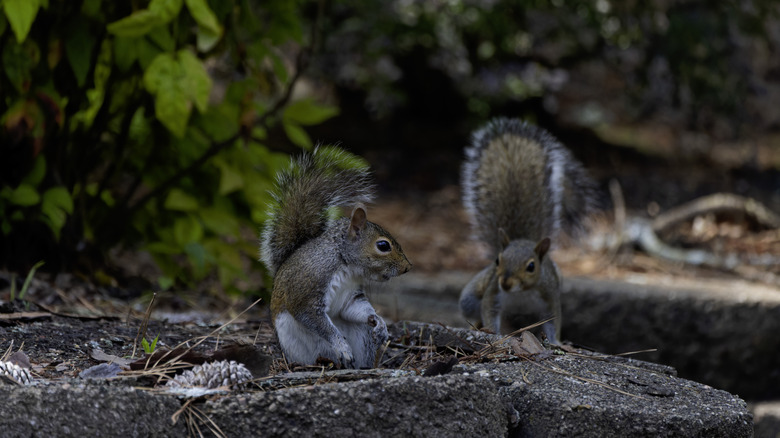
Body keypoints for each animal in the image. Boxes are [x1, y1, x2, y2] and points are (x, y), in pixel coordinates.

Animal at [260, 146, 412, 369]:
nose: (407, 267)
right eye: (383, 245)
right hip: (298, 345)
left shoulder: (352, 296)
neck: (345, 264)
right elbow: (313, 318)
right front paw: (341, 345)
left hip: (362, 336)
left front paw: (379, 322)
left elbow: (356, 308)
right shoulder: (309, 286)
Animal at [458, 117, 598, 343]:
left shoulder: (549, 297)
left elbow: (553, 322)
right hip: (471, 298)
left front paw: (555, 342)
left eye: (531, 266)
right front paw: (493, 333)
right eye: (498, 260)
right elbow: (489, 311)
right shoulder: (493, 294)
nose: (506, 283)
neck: (520, 293)